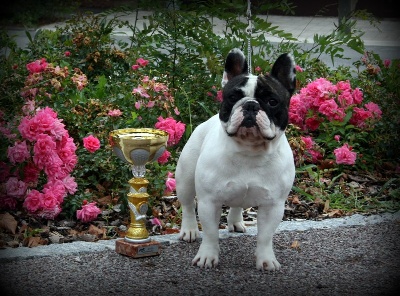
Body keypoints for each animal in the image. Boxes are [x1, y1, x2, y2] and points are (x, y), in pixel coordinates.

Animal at [176, 48, 296, 270]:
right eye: (232, 97)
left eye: (272, 101)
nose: (250, 105)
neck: (249, 150)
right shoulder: (209, 202)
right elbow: (211, 233)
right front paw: (207, 256)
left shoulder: (273, 206)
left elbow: (265, 236)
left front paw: (266, 260)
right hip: (185, 179)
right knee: (187, 206)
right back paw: (189, 230)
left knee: (237, 203)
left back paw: (236, 221)